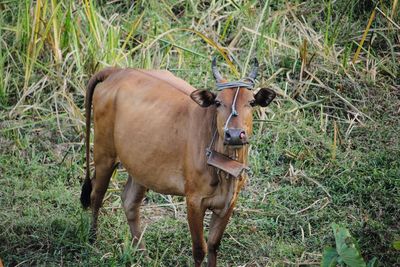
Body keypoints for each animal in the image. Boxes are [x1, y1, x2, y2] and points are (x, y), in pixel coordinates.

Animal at [80, 59, 276, 267]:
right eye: (217, 102)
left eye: (252, 102)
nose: (234, 134)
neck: (224, 171)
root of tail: (118, 71)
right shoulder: (194, 200)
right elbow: (199, 249)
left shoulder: (229, 202)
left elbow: (213, 245)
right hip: (104, 153)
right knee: (96, 195)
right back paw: (93, 239)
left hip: (140, 167)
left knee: (130, 203)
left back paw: (143, 254)